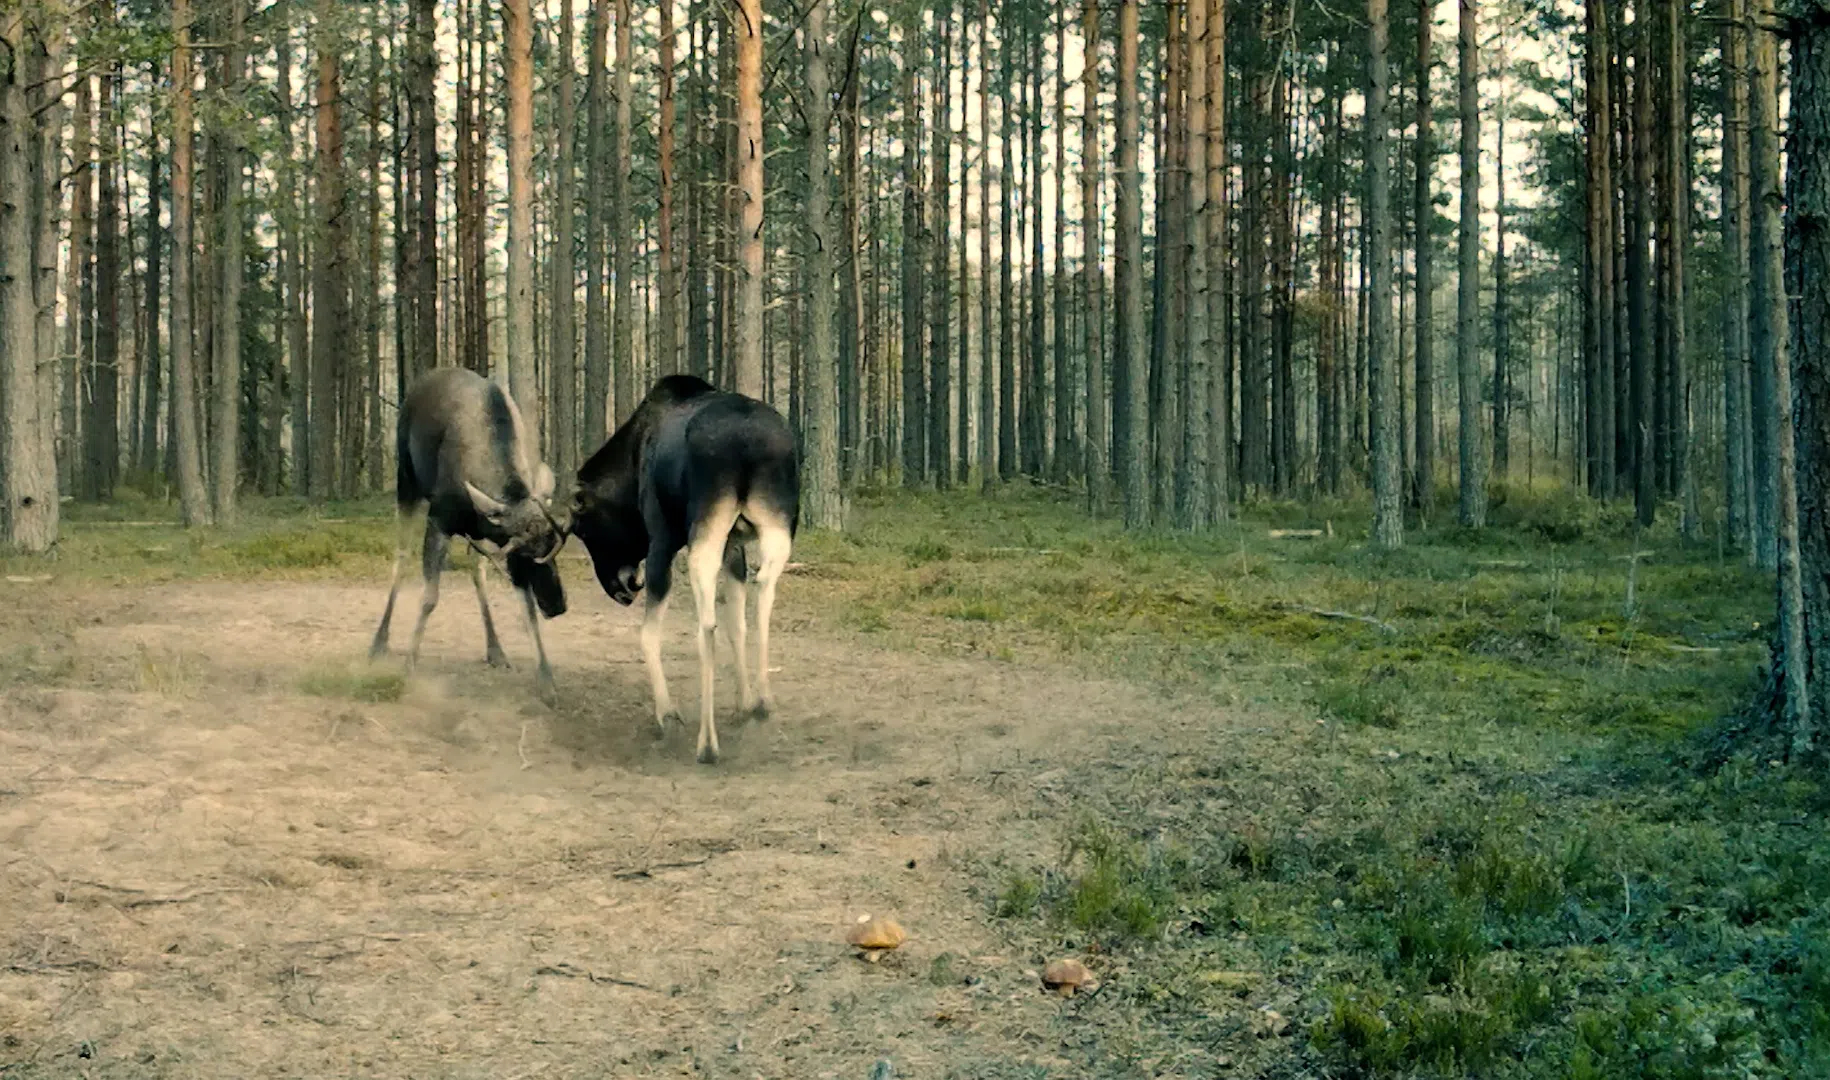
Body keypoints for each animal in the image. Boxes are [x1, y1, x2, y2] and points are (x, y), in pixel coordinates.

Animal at [367, 369, 567, 695]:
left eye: (554, 552)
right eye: (523, 556)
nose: (557, 605)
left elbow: (525, 608)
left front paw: (547, 678)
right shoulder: (439, 519)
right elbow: (429, 598)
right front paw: (409, 665)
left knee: (477, 571)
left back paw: (495, 648)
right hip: (406, 482)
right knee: (401, 556)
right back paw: (379, 641)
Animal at [570, 377, 801, 765]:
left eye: (584, 530)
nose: (621, 588)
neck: (631, 461)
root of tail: (747, 442)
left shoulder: (661, 539)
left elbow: (648, 634)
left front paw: (666, 713)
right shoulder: (734, 546)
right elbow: (737, 625)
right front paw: (743, 702)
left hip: (704, 530)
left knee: (706, 626)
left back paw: (707, 743)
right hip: (777, 525)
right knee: (763, 593)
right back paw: (763, 701)